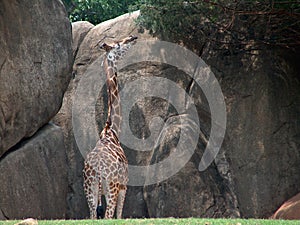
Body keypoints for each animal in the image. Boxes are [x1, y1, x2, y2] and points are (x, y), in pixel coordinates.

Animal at [82, 35, 138, 220]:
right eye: (118, 45)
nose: (133, 37)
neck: (112, 130)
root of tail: (98, 171)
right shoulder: (124, 185)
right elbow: (119, 216)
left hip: (90, 189)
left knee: (93, 215)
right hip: (111, 188)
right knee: (108, 215)